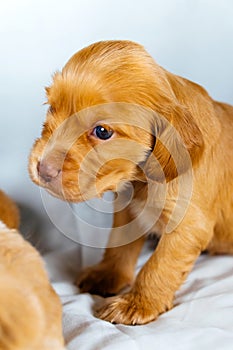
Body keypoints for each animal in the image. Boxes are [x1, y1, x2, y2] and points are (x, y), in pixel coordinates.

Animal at [29, 40, 233, 326]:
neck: (142, 180)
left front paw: (136, 304)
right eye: (51, 108)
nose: (43, 168)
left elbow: (159, 266)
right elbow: (119, 244)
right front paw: (107, 276)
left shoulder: (188, 225)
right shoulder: (128, 209)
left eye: (103, 132)